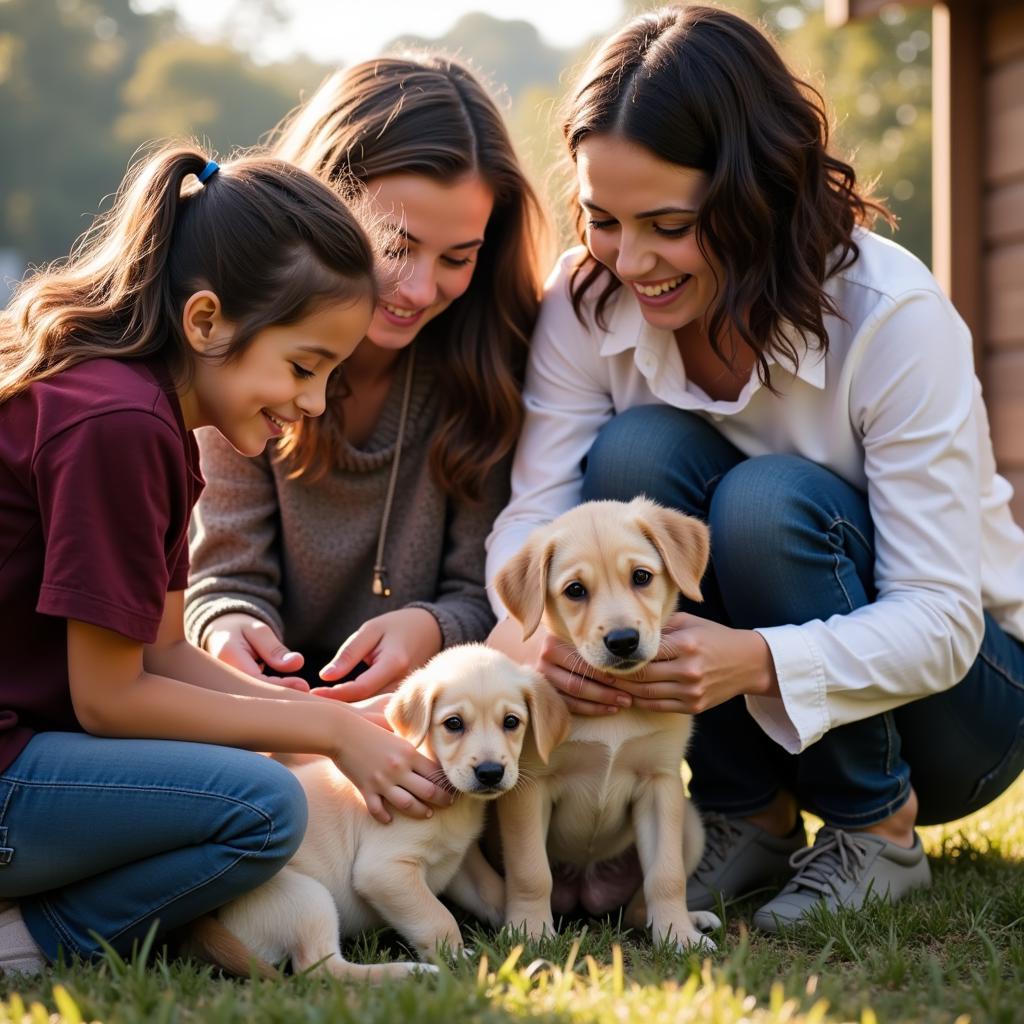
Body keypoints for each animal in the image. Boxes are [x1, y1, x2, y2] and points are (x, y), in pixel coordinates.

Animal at [186, 643, 569, 978]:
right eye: (454, 724)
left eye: (511, 722)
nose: (490, 772)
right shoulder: (385, 871)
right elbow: (437, 918)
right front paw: (457, 957)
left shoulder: (459, 862)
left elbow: (491, 891)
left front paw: (524, 930)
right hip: (303, 897)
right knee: (322, 969)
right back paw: (413, 972)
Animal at [495, 497, 720, 950]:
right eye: (575, 590)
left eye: (641, 577)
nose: (622, 641)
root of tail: (587, 892)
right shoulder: (528, 786)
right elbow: (531, 872)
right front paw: (531, 932)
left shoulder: (660, 784)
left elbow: (665, 875)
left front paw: (677, 936)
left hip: (691, 824)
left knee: (637, 905)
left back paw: (690, 921)